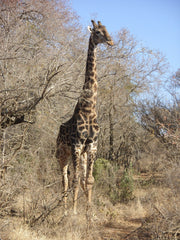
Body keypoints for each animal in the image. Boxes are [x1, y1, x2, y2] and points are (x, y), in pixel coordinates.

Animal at [55, 19, 113, 214]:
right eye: (97, 32)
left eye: (107, 29)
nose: (111, 41)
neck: (89, 108)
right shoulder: (77, 145)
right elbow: (74, 179)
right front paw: (73, 212)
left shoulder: (92, 146)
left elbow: (89, 180)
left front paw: (89, 213)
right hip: (62, 154)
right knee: (65, 179)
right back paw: (64, 209)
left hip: (81, 155)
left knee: (78, 178)